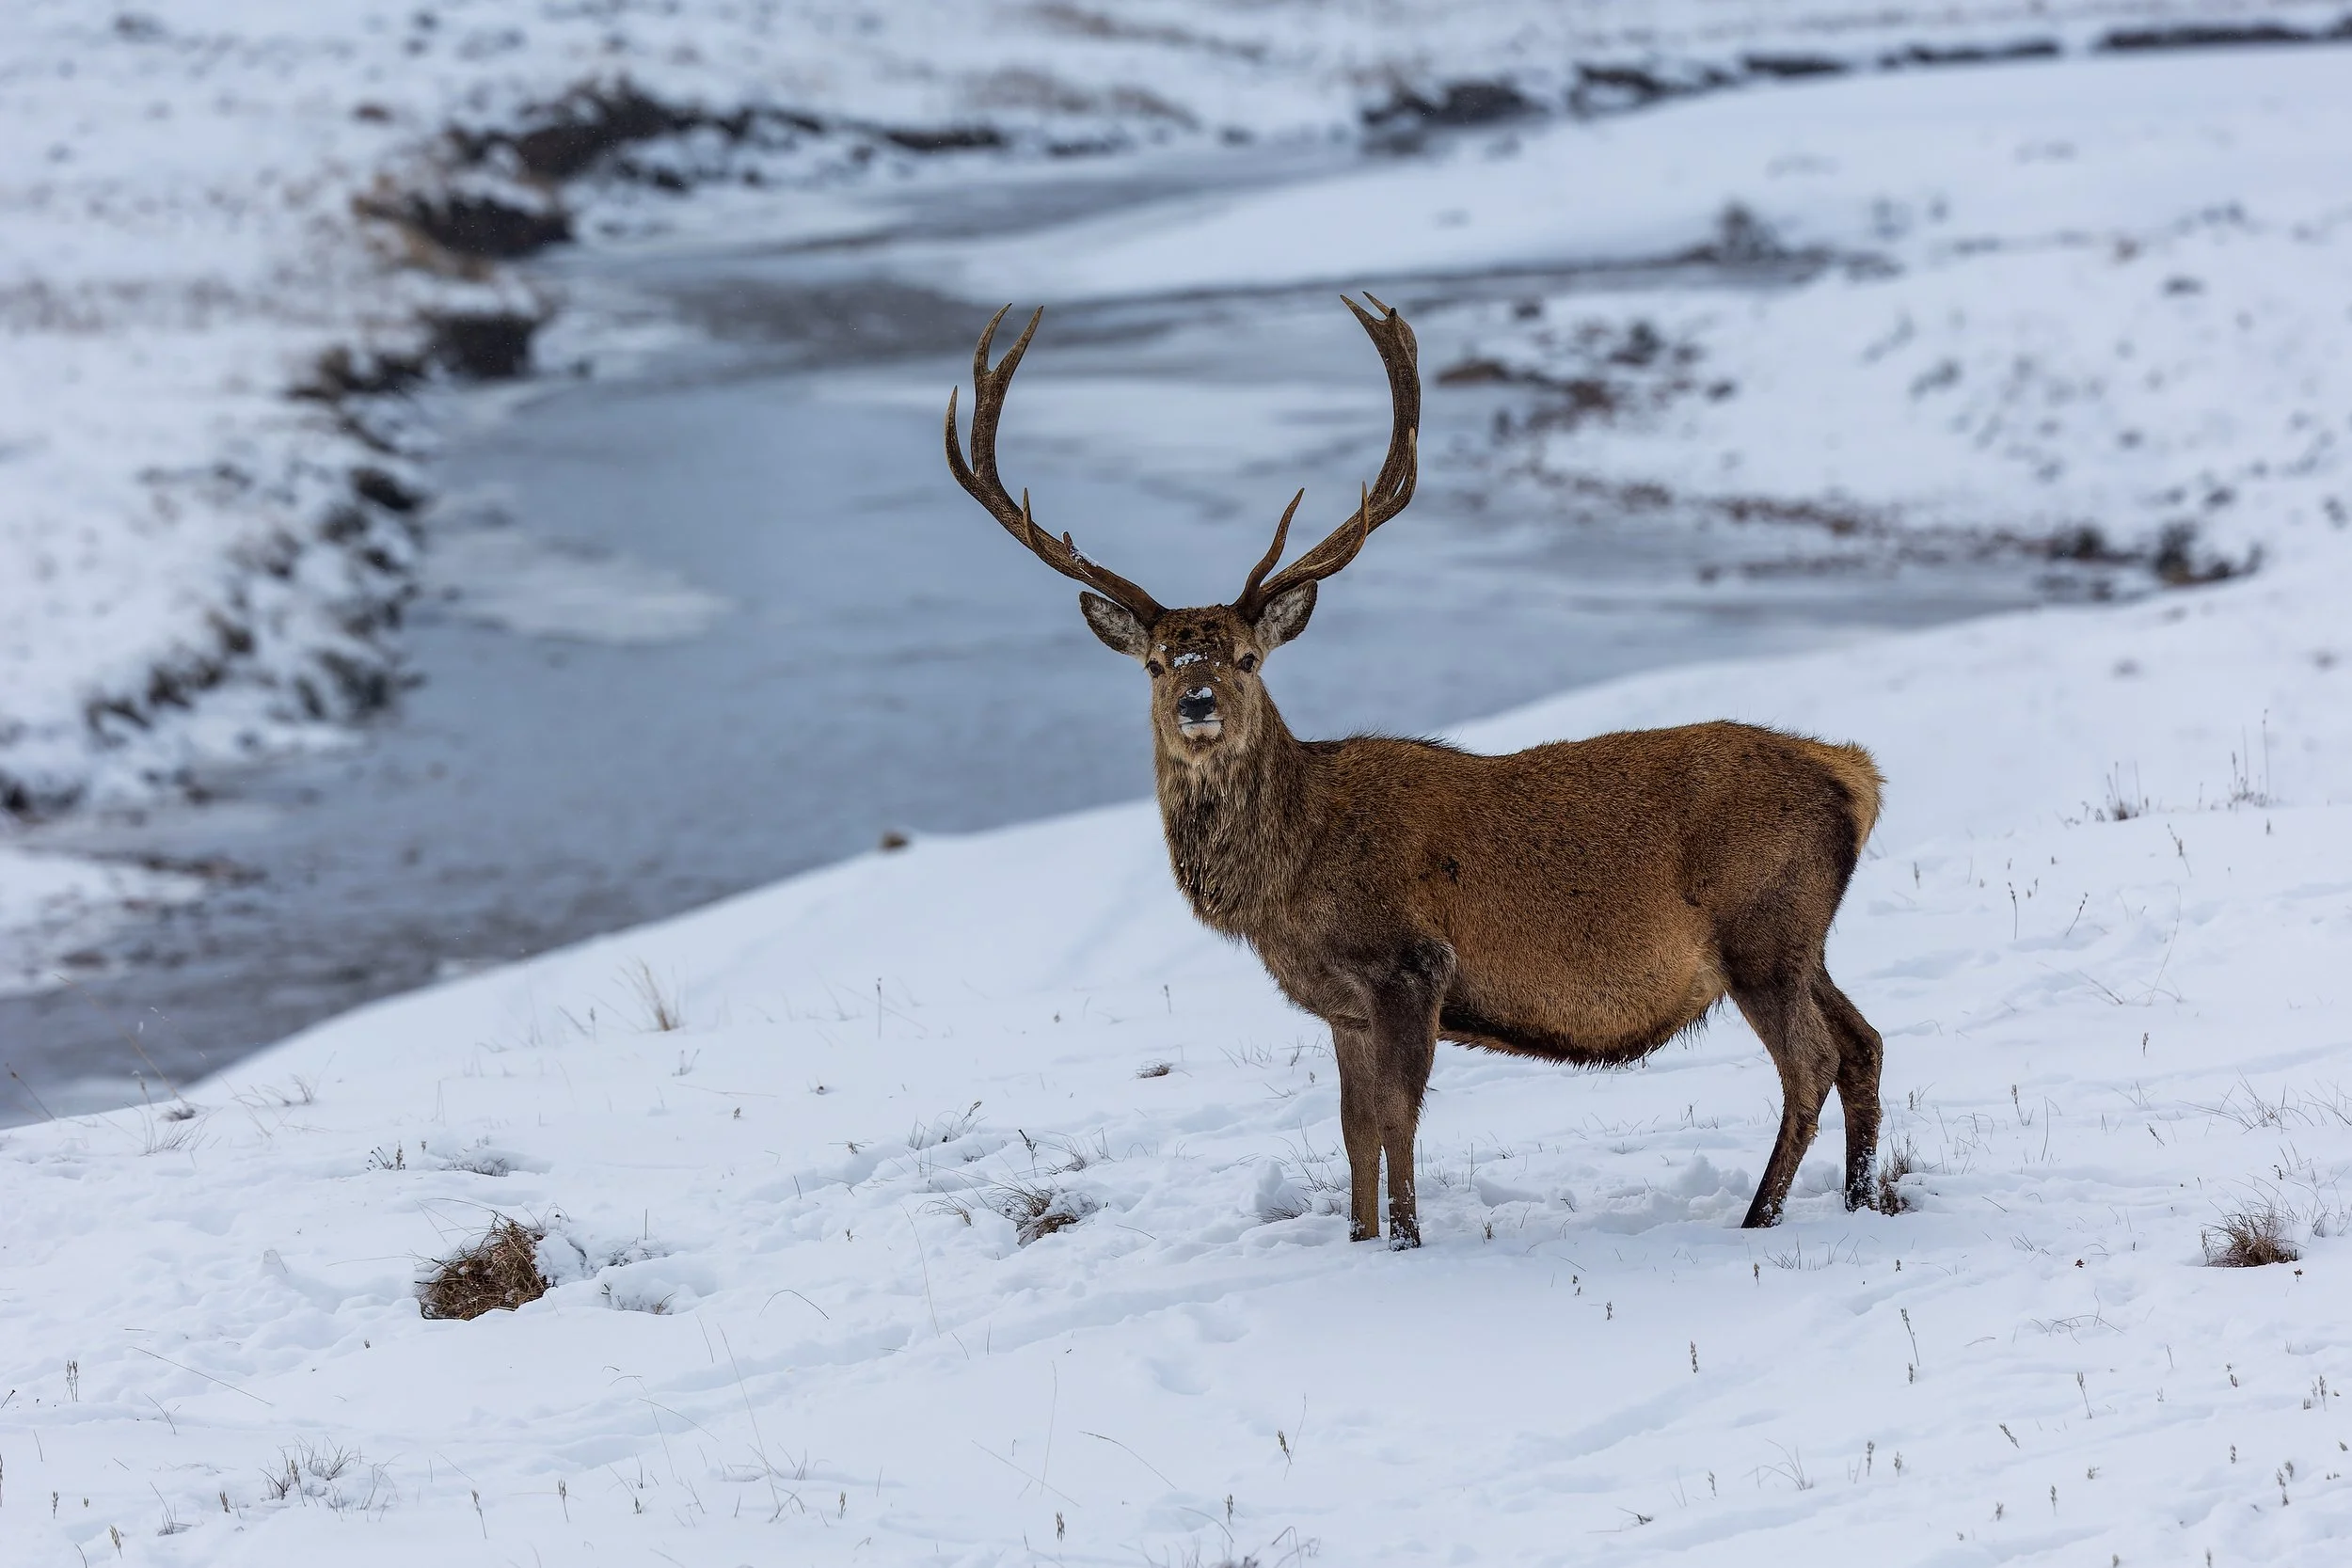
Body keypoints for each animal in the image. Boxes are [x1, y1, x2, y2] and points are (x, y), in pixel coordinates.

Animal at [944, 296, 1887, 1246]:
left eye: (1247, 657)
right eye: (1155, 663)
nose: (1198, 701)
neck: (1291, 872)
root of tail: (1856, 776)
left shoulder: (1411, 963)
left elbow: (1398, 1121)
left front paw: (1405, 1240)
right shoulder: (1343, 1005)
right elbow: (1355, 1129)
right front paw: (1361, 1239)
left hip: (1760, 928)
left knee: (1811, 1062)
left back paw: (1760, 1216)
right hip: (1803, 936)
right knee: (1863, 1045)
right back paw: (1859, 1198)